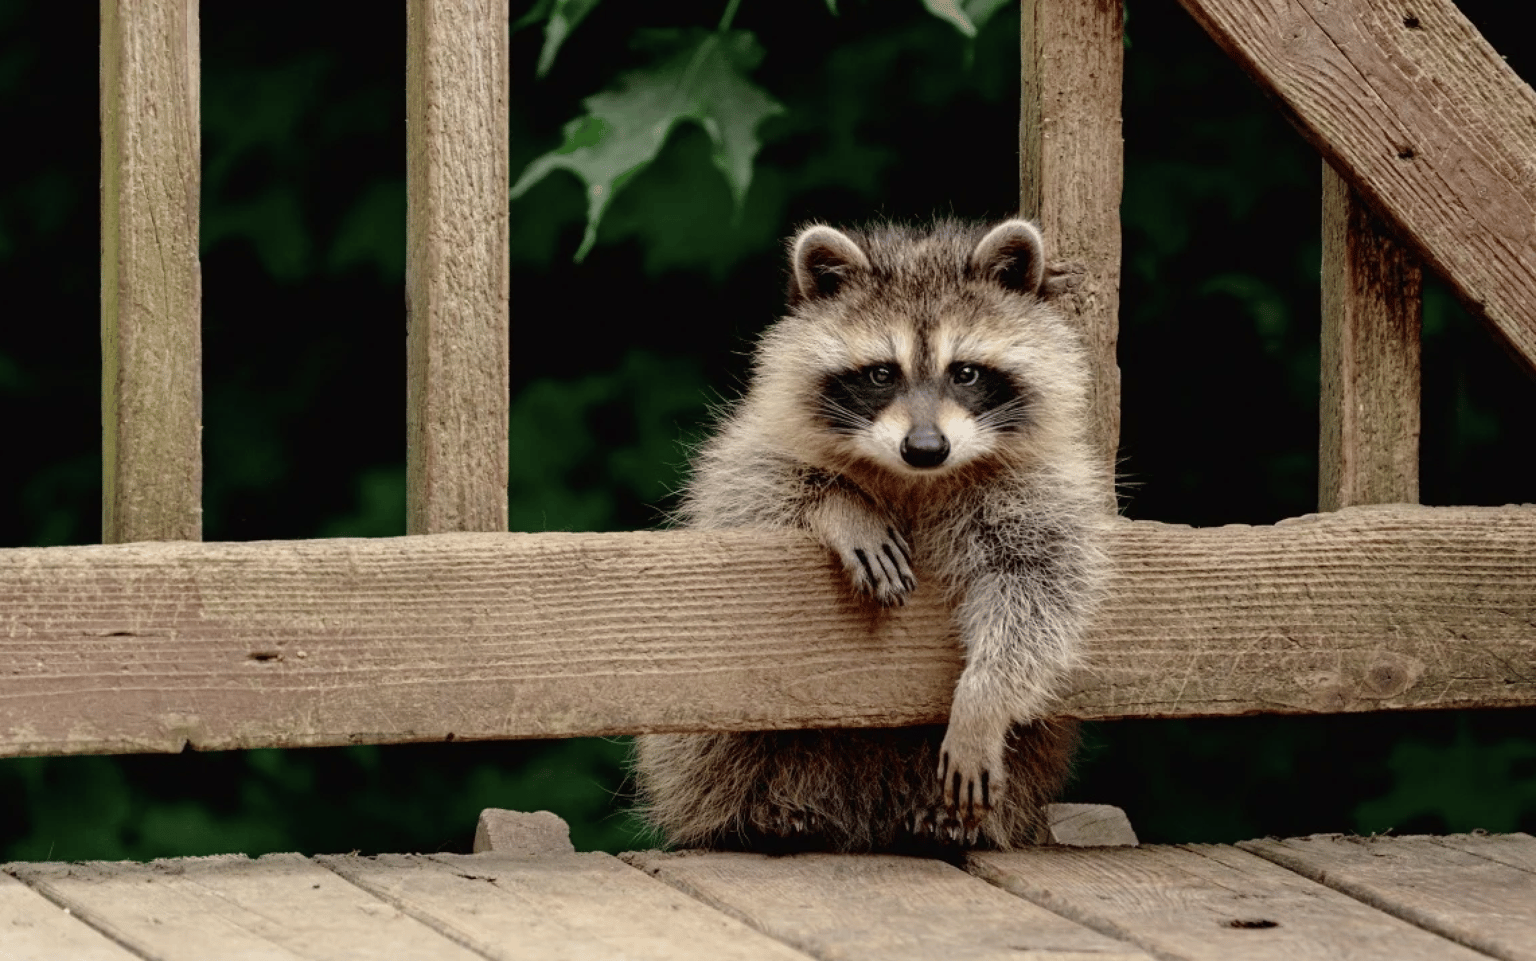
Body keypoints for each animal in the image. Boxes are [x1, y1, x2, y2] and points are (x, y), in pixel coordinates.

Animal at [635, 218, 1107, 853]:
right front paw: (841, 506)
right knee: (714, 747)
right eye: (883, 373)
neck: (917, 479)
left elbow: (1040, 589)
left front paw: (984, 697)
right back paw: (760, 811)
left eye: (965, 372)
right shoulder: (748, 458)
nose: (926, 448)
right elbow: (750, 498)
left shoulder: (1039, 489)